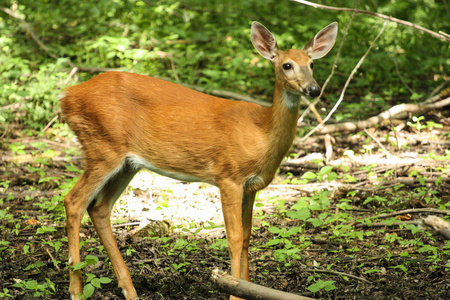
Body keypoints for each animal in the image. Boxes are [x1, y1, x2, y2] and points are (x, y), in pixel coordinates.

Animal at [58, 19, 336, 298]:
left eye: (312, 64)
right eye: (286, 65)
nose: (314, 89)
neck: (262, 132)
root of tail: (67, 96)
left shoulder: (251, 187)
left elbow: (247, 238)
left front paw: (248, 287)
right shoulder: (228, 176)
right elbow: (234, 239)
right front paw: (234, 290)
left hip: (126, 163)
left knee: (99, 208)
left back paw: (129, 290)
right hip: (101, 146)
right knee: (73, 201)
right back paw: (76, 290)